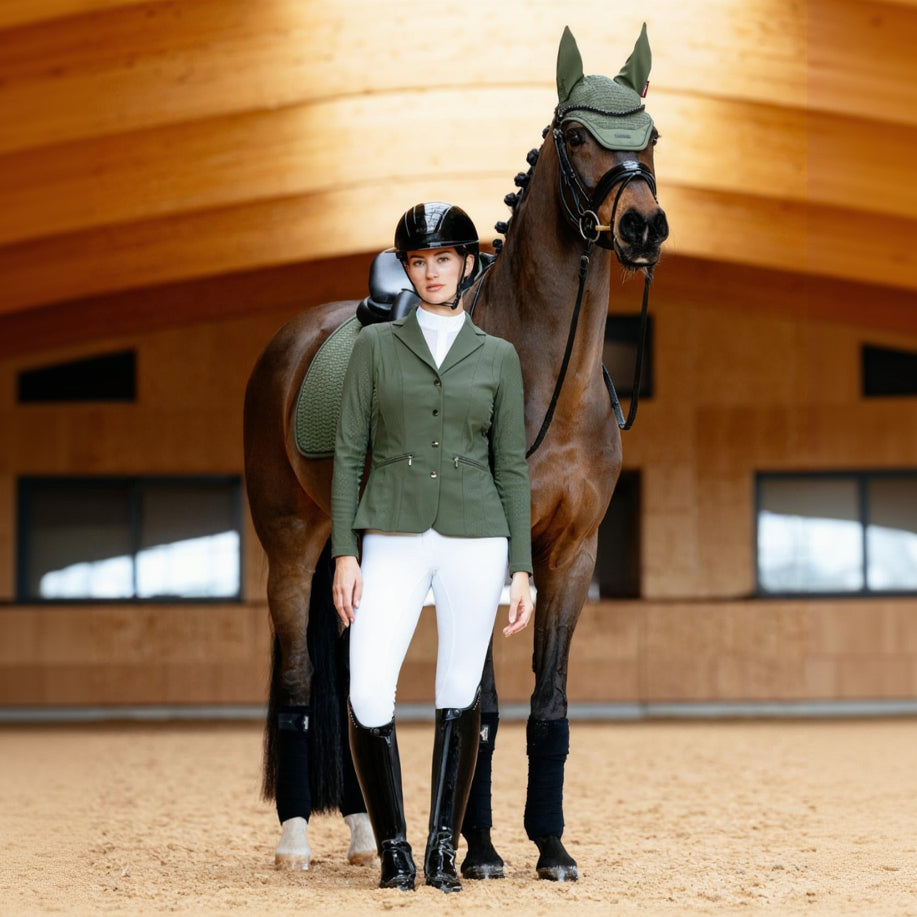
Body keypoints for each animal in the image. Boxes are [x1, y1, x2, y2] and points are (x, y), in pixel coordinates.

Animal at [243, 24, 668, 880]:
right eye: (577, 134)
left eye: (651, 136)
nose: (642, 225)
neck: (547, 378)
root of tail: (293, 338)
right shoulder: (497, 547)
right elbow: (483, 706)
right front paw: (482, 851)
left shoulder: (572, 553)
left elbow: (547, 706)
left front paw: (551, 847)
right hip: (291, 546)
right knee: (302, 681)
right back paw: (296, 838)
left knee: (354, 677)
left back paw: (365, 833)